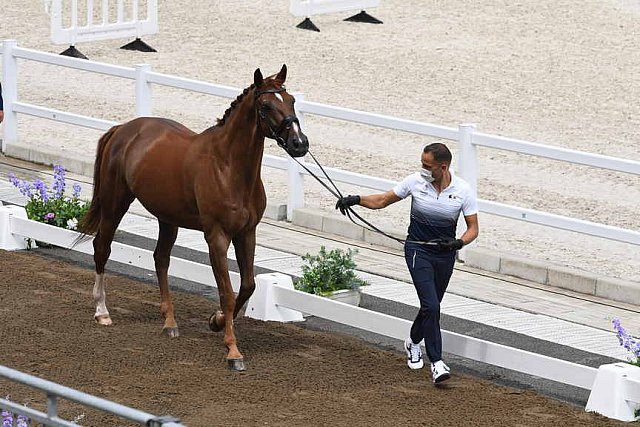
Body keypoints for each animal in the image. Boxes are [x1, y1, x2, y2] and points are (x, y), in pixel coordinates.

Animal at [79, 66, 308, 372]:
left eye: (291, 100)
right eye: (266, 106)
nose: (299, 143)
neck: (228, 167)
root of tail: (123, 129)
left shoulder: (247, 233)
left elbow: (247, 285)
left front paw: (216, 321)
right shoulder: (217, 237)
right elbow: (227, 292)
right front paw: (233, 351)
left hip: (168, 218)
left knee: (161, 259)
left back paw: (169, 322)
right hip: (116, 203)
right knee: (102, 248)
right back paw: (102, 311)